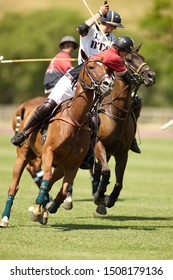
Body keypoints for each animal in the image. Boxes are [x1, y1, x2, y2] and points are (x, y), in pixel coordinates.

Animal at [0, 56, 113, 228]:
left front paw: (48, 208)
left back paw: (44, 209)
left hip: (59, 165)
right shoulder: (48, 152)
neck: (75, 120)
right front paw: (38, 209)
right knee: (15, 186)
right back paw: (5, 218)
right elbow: (46, 178)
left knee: (52, 182)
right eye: (91, 67)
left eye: (107, 70)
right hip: (23, 155)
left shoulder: (73, 164)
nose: (108, 83)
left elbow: (63, 190)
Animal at [92, 44, 155, 213]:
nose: (151, 76)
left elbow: (119, 182)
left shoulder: (122, 153)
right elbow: (105, 171)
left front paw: (109, 199)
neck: (116, 113)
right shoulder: (99, 144)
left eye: (142, 58)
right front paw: (100, 195)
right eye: (128, 60)